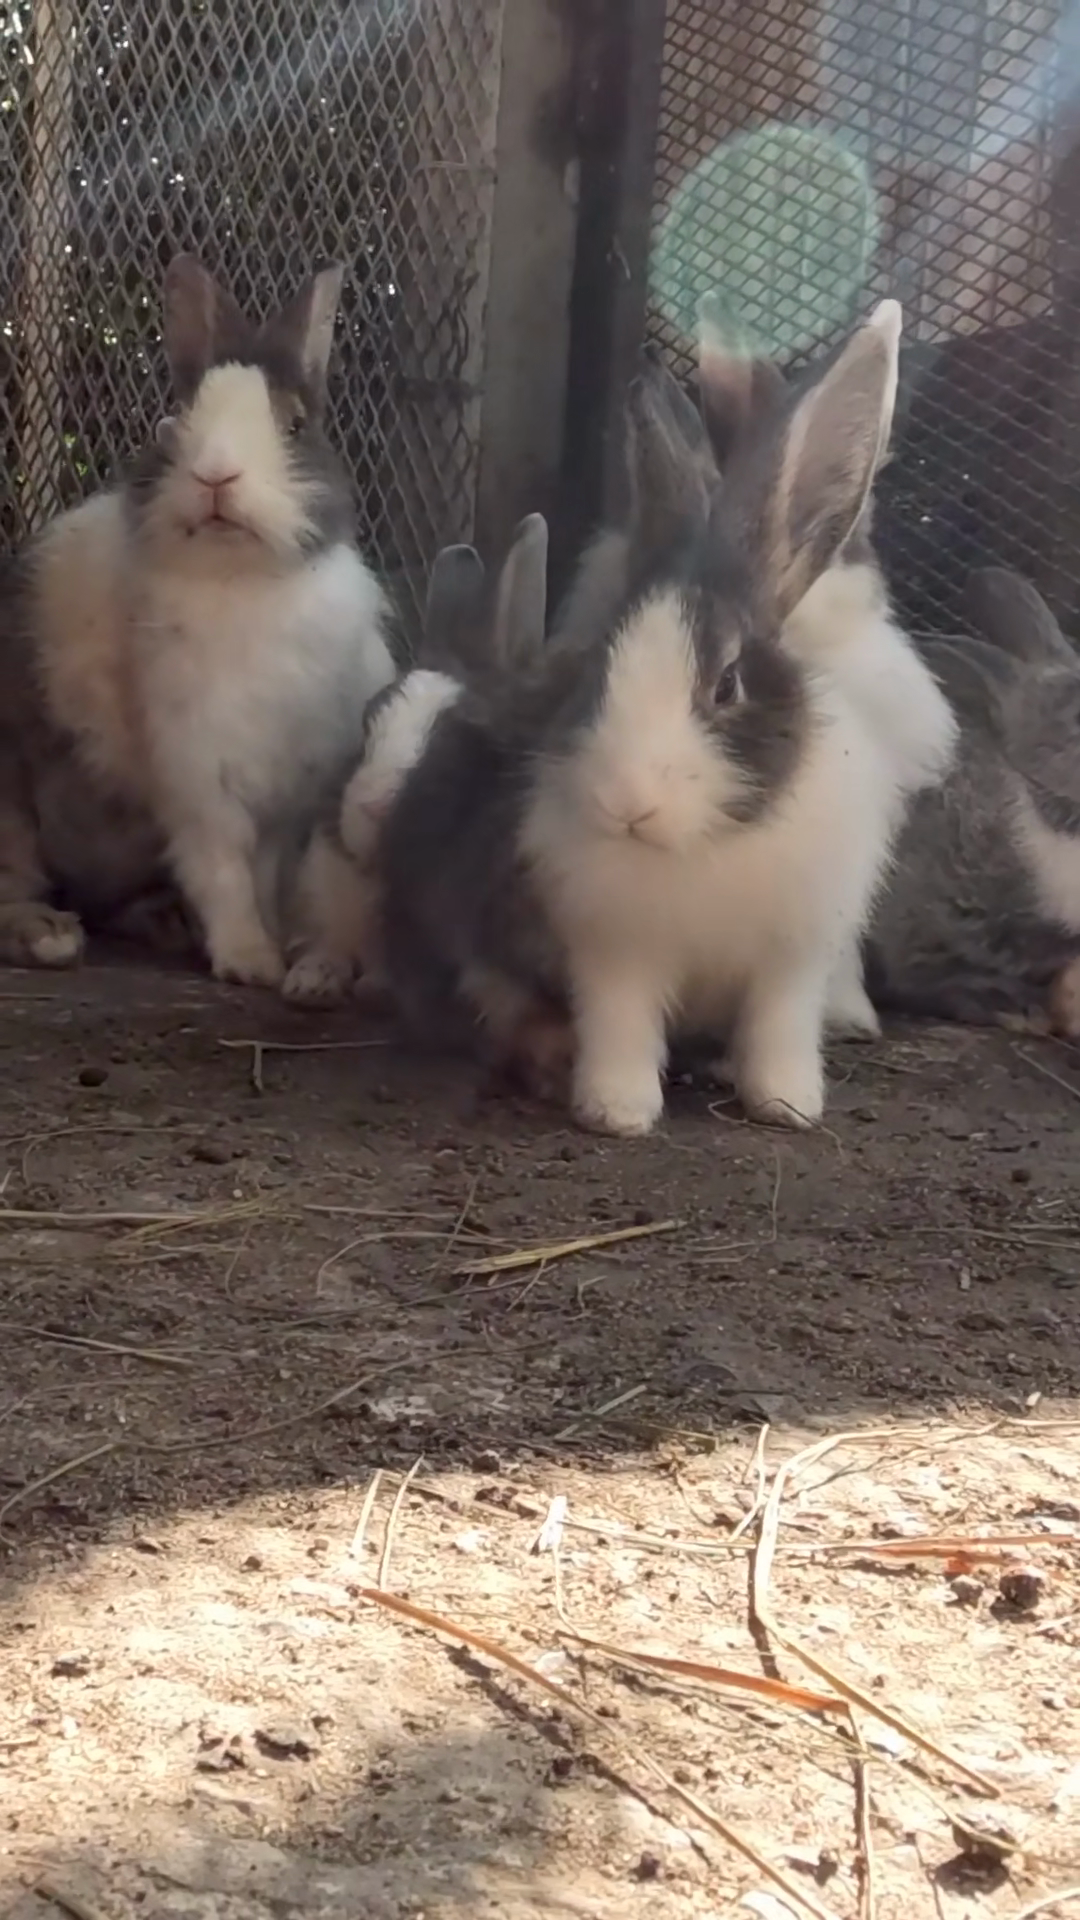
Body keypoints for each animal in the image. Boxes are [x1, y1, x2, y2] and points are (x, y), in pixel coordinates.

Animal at [0, 254, 396, 985]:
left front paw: (273, 946)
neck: (238, 581)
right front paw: (249, 960)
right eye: (178, 420)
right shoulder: (199, 781)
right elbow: (223, 873)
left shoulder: (281, 797)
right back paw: (49, 936)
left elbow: (262, 874)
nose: (217, 474)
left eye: (294, 425)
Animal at [282, 513, 550, 1007]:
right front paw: (311, 982)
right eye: (366, 722)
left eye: (463, 741)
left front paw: (377, 987)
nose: (375, 807)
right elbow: (326, 945)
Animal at [378, 306, 909, 1137]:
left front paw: (787, 1105)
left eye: (726, 684)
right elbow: (620, 1027)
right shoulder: (612, 954)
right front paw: (616, 1111)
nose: (628, 803)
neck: (700, 847)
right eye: (599, 669)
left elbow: (779, 1031)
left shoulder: (792, 961)